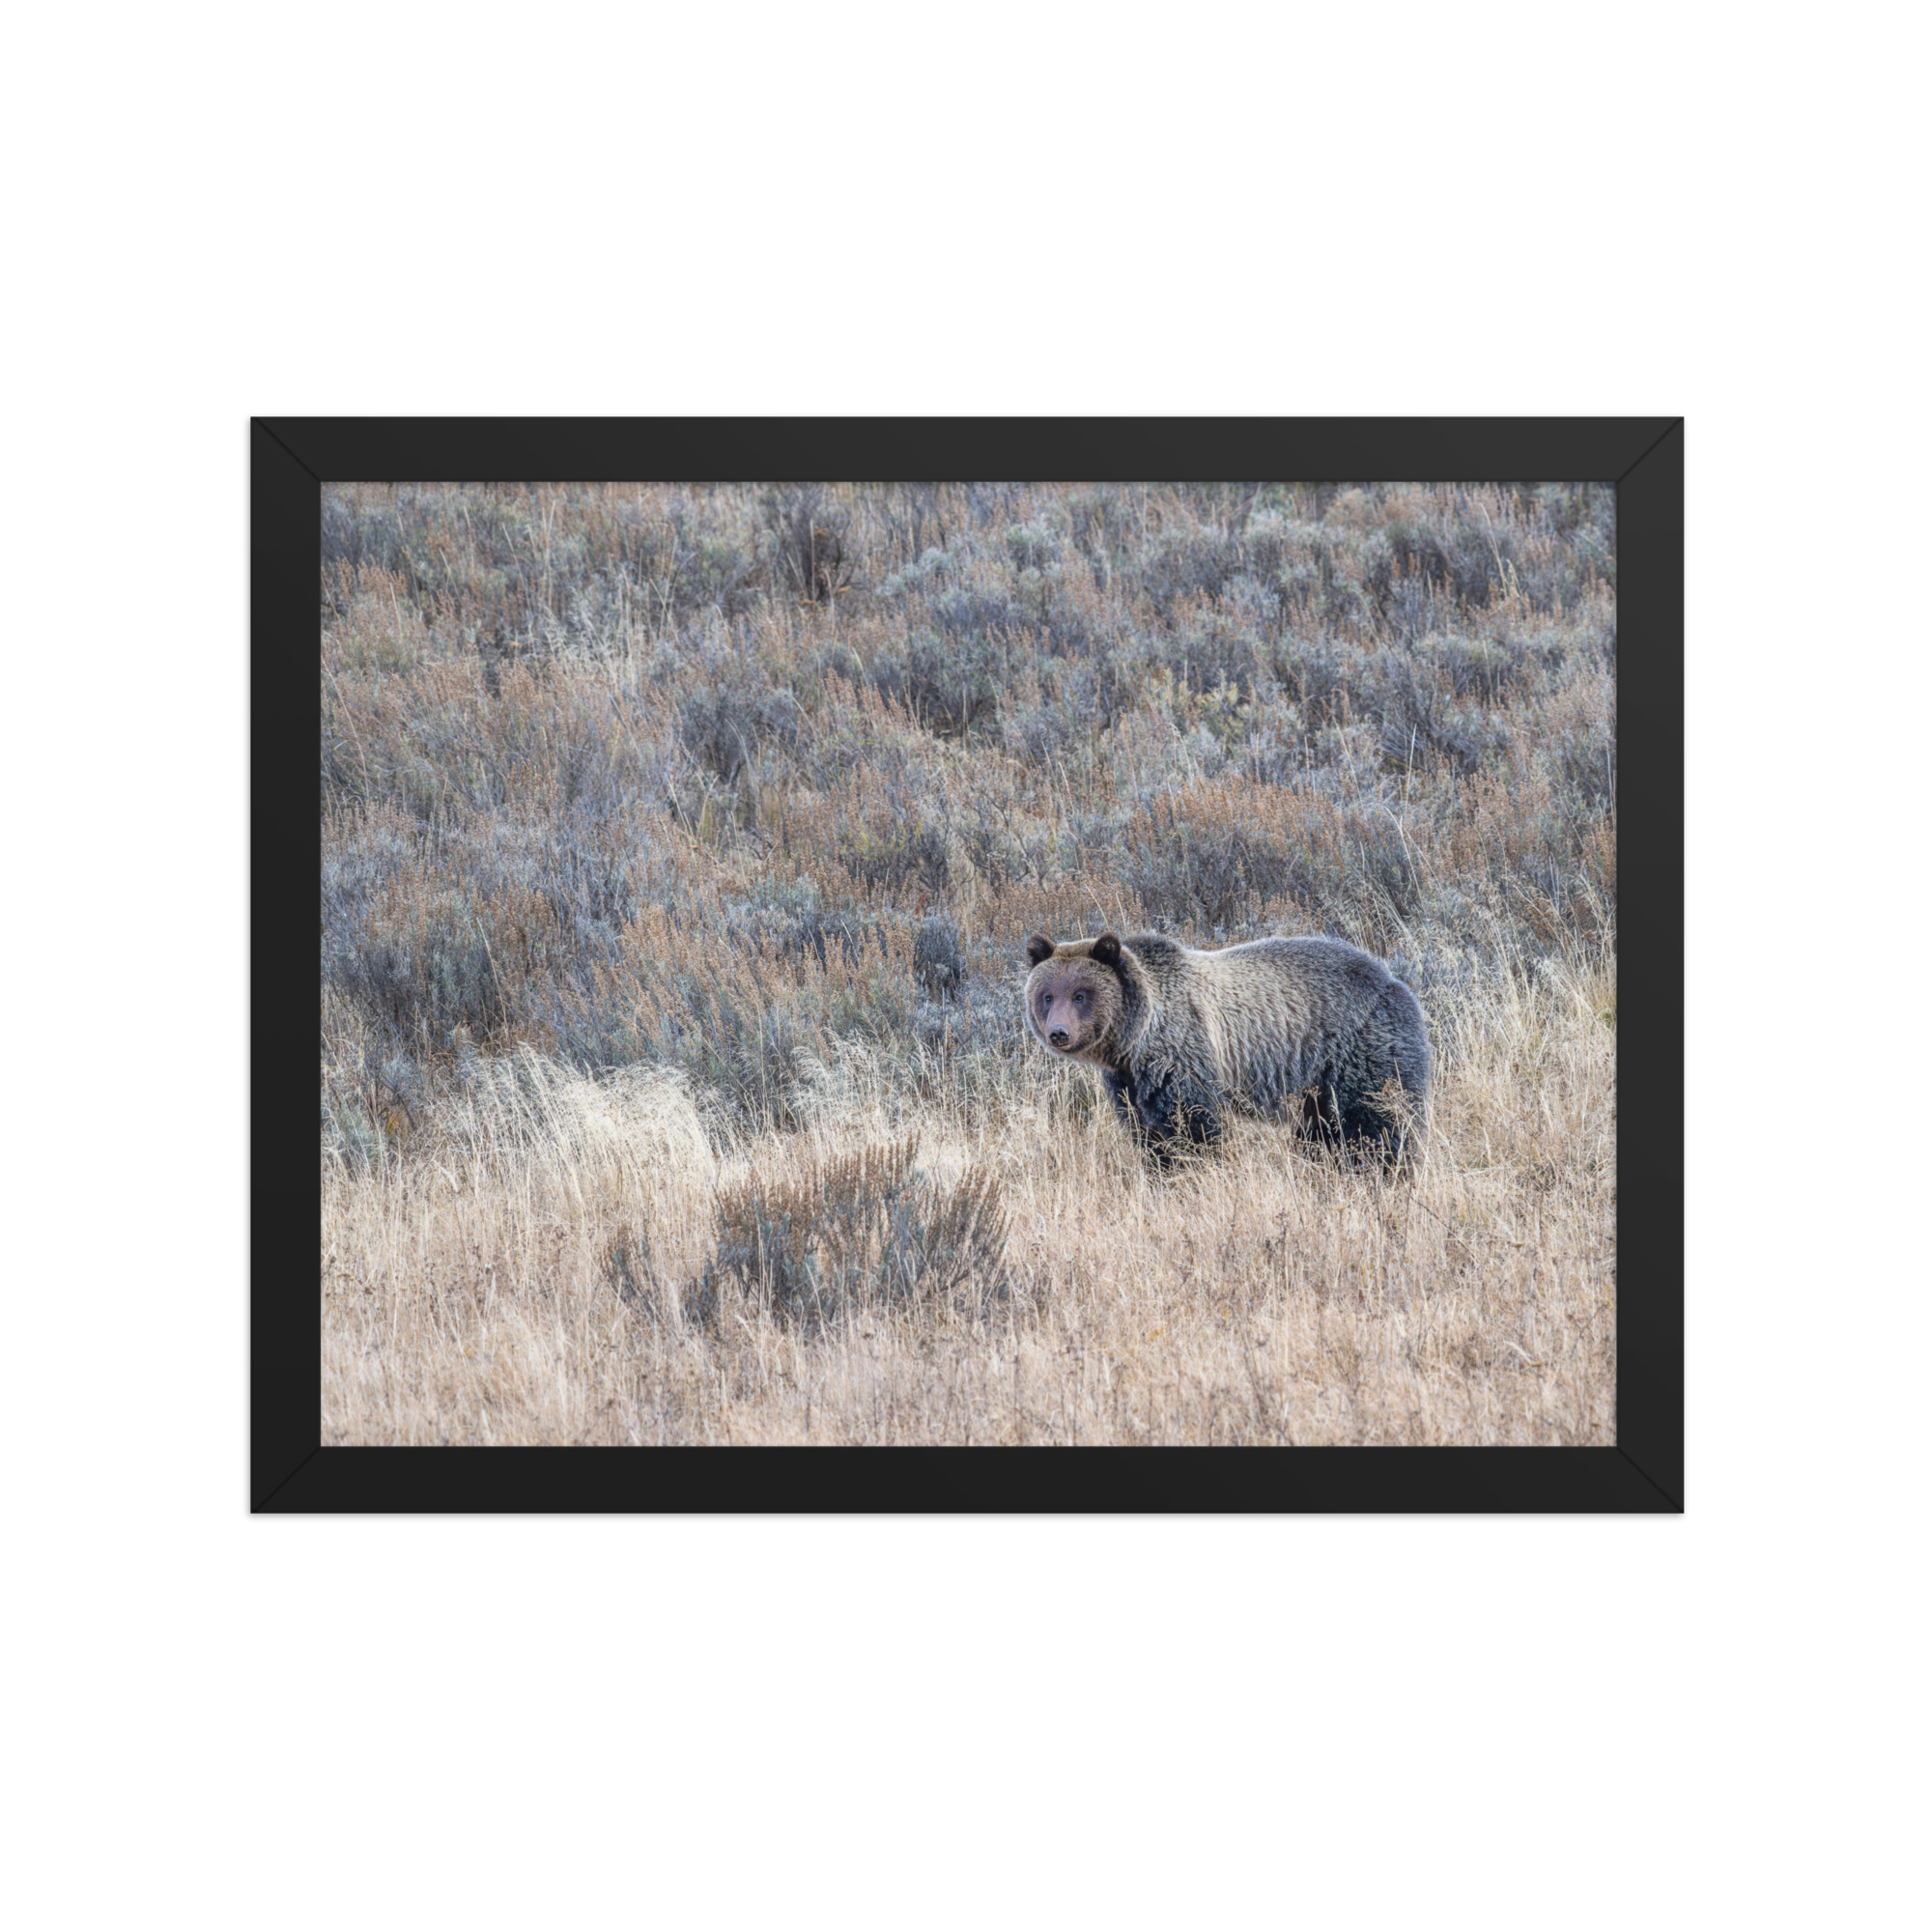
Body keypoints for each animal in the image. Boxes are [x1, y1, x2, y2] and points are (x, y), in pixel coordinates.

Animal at [1023, 930, 1431, 1170]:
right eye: (1048, 995)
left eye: (1081, 995)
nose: (1059, 1033)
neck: (1134, 1041)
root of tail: (1394, 980)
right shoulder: (1128, 1083)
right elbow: (1147, 1134)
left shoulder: (1183, 1056)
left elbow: (1194, 1128)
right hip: (1316, 1085)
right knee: (1321, 1132)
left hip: (1360, 1050)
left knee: (1377, 1122)